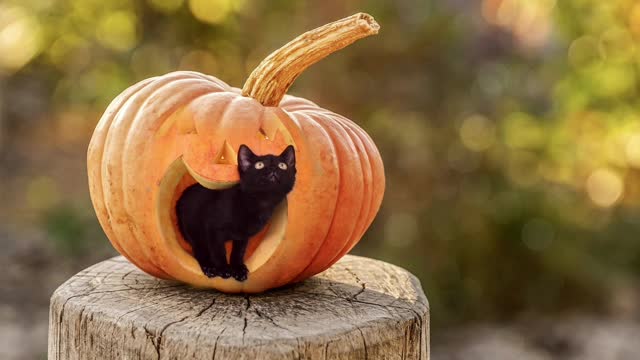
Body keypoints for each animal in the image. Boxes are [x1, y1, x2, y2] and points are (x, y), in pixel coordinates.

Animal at [175, 144, 296, 282]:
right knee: (199, 249)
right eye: (259, 165)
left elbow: (238, 252)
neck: (259, 203)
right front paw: (223, 269)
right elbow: (219, 251)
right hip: (193, 228)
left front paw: (238, 269)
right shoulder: (213, 230)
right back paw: (209, 267)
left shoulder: (242, 236)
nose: (273, 168)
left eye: (282, 165)